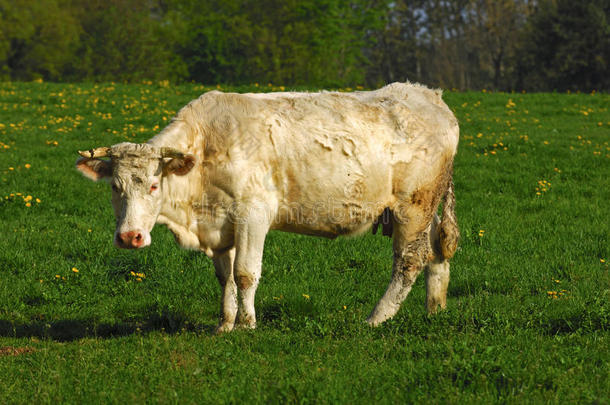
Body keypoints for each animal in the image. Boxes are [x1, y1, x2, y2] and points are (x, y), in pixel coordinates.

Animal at [76, 83, 456, 332]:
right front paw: (225, 324)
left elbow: (245, 273)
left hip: (413, 207)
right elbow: (225, 277)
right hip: (427, 209)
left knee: (409, 261)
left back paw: (377, 318)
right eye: (115, 187)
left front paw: (247, 324)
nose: (130, 237)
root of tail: (428, 95)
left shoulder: (252, 214)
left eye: (154, 186)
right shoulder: (220, 226)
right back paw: (435, 310)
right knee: (436, 250)